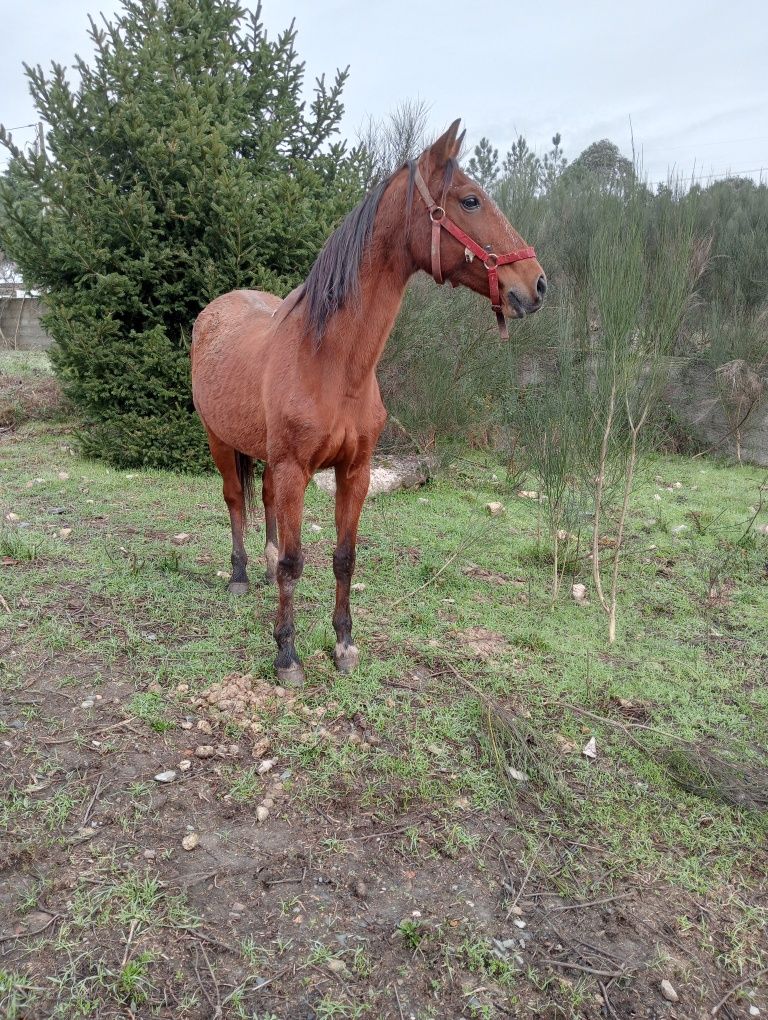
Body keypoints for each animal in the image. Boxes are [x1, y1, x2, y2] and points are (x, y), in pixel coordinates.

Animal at [191, 119, 546, 685]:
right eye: (470, 200)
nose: (536, 283)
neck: (333, 363)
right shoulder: (295, 470)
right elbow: (296, 562)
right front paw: (287, 655)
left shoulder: (353, 470)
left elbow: (344, 558)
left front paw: (343, 645)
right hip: (219, 441)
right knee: (234, 501)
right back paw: (241, 576)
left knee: (262, 500)